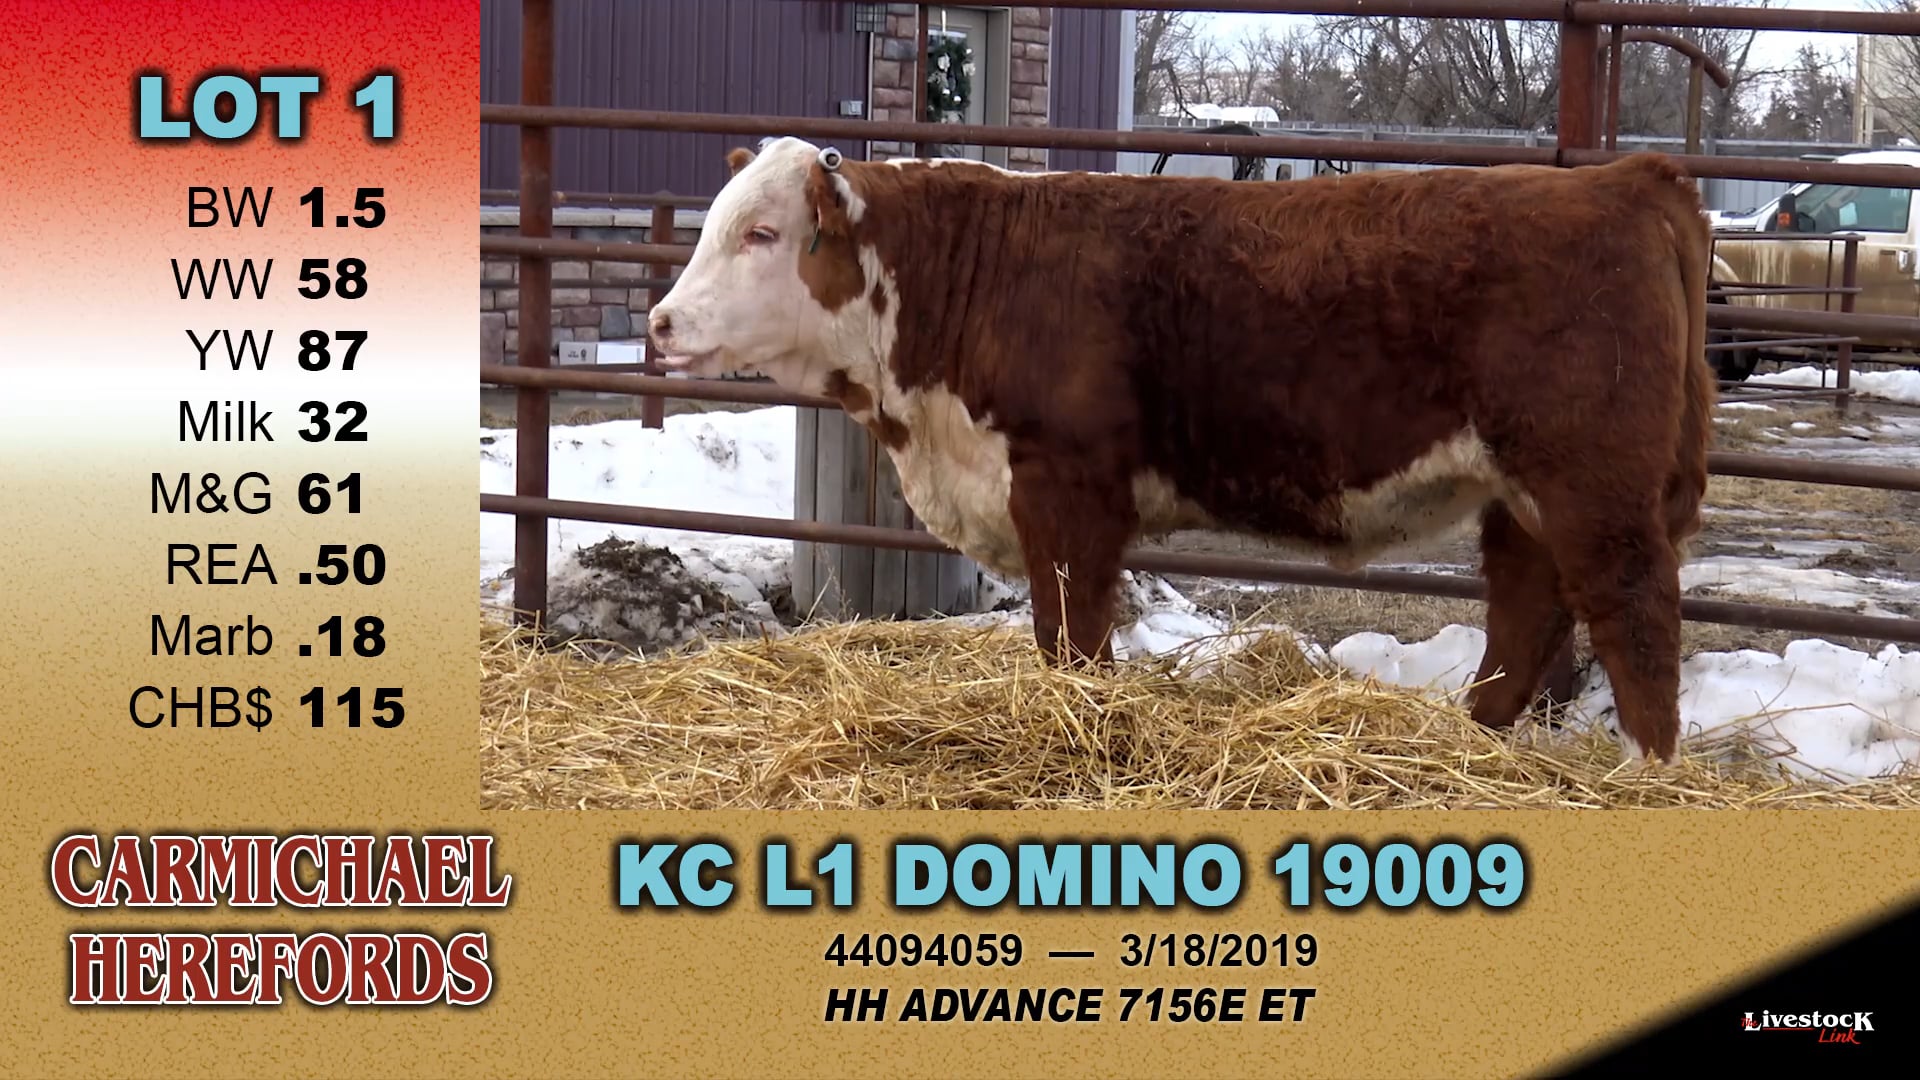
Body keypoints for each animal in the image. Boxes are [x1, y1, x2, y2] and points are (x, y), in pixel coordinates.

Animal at [647, 136, 1714, 762]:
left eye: (762, 232)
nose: (659, 322)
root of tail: (1626, 181)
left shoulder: (1067, 486)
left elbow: (1069, 635)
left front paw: (1079, 726)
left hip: (1593, 484)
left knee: (1634, 615)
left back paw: (1646, 774)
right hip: (1523, 490)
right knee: (1529, 608)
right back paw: (1470, 741)